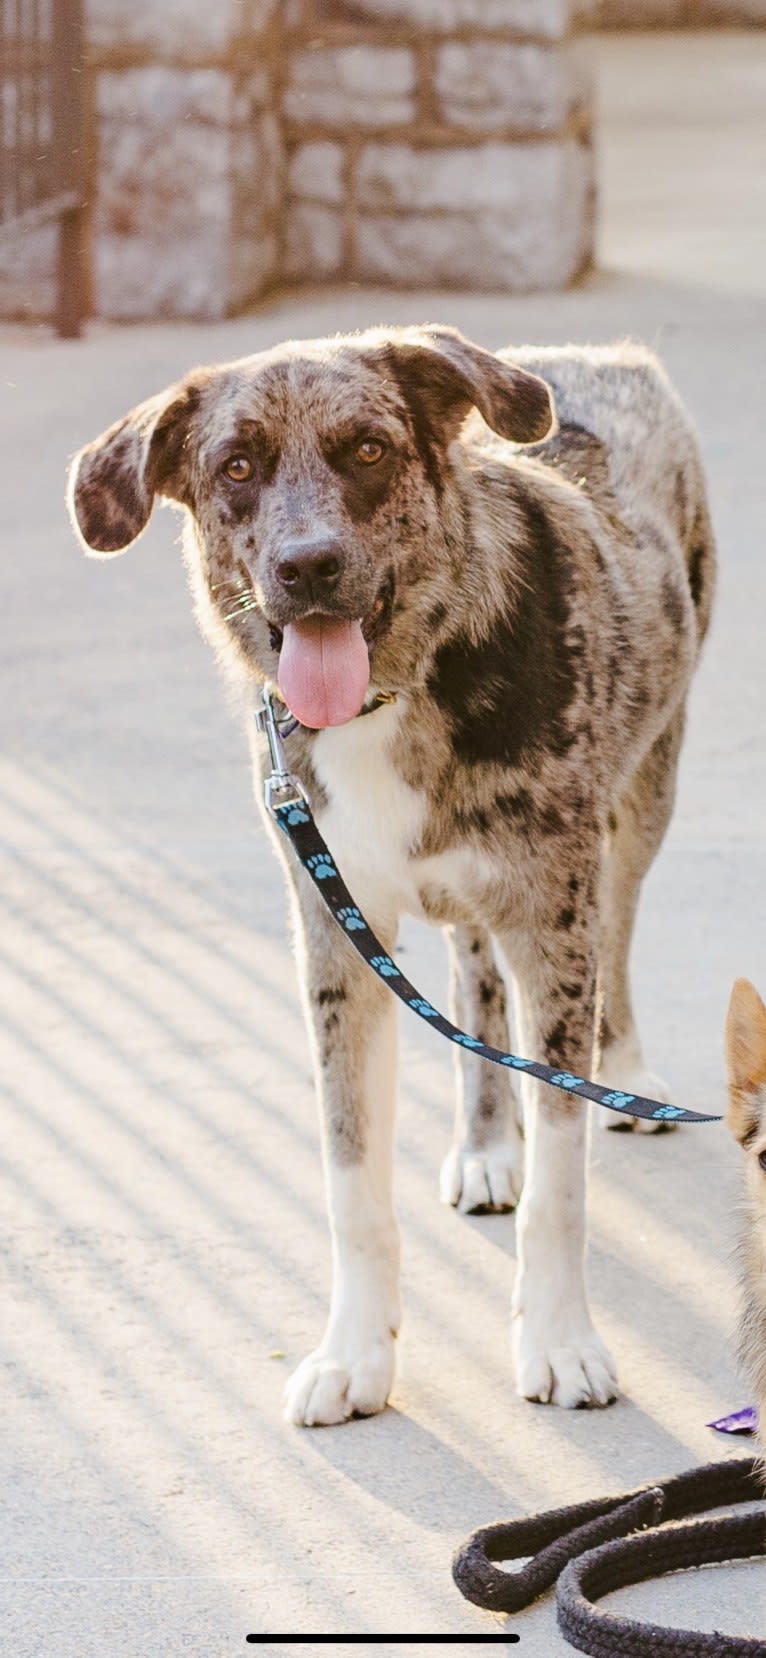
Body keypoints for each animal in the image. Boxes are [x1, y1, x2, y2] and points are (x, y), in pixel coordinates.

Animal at [68, 326, 716, 1425]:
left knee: (620, 931)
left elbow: (563, 1180)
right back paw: (486, 1145)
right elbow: (352, 1178)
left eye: (368, 449)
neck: (392, 693)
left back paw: (623, 1074)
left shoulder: (555, 921)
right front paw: (355, 1353)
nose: (308, 566)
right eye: (234, 467)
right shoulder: (336, 937)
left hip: (642, 797)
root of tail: (591, 350)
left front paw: (560, 1342)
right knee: (473, 976)